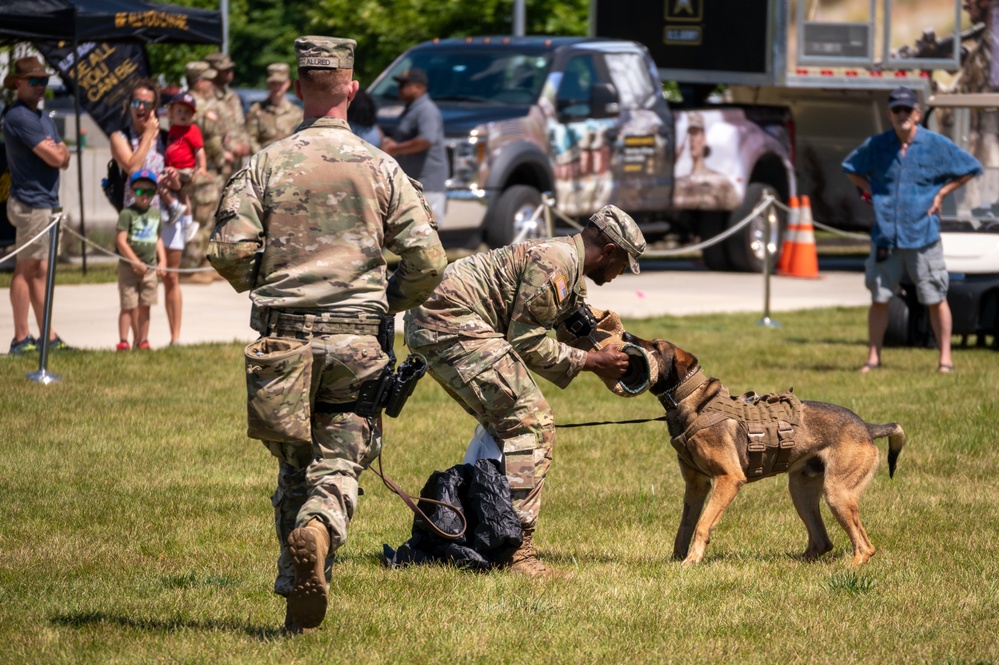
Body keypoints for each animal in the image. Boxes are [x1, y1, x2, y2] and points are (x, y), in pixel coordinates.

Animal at [624, 334, 908, 564]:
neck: (694, 403)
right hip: (801, 490)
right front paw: (677, 561)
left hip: (838, 493)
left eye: (656, 347)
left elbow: (703, 524)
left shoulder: (729, 479)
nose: (626, 335)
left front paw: (691, 562)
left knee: (864, 546)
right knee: (823, 542)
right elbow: (684, 527)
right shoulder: (696, 485)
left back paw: (848, 569)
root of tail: (867, 428)